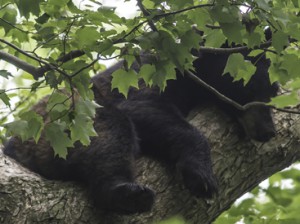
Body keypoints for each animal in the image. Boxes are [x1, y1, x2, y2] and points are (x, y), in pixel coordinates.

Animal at [2, 46, 278, 214]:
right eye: (257, 88)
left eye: (273, 92)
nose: (270, 132)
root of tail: (13, 144)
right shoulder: (145, 75)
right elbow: (142, 108)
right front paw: (201, 175)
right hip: (62, 128)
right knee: (111, 131)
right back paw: (126, 192)